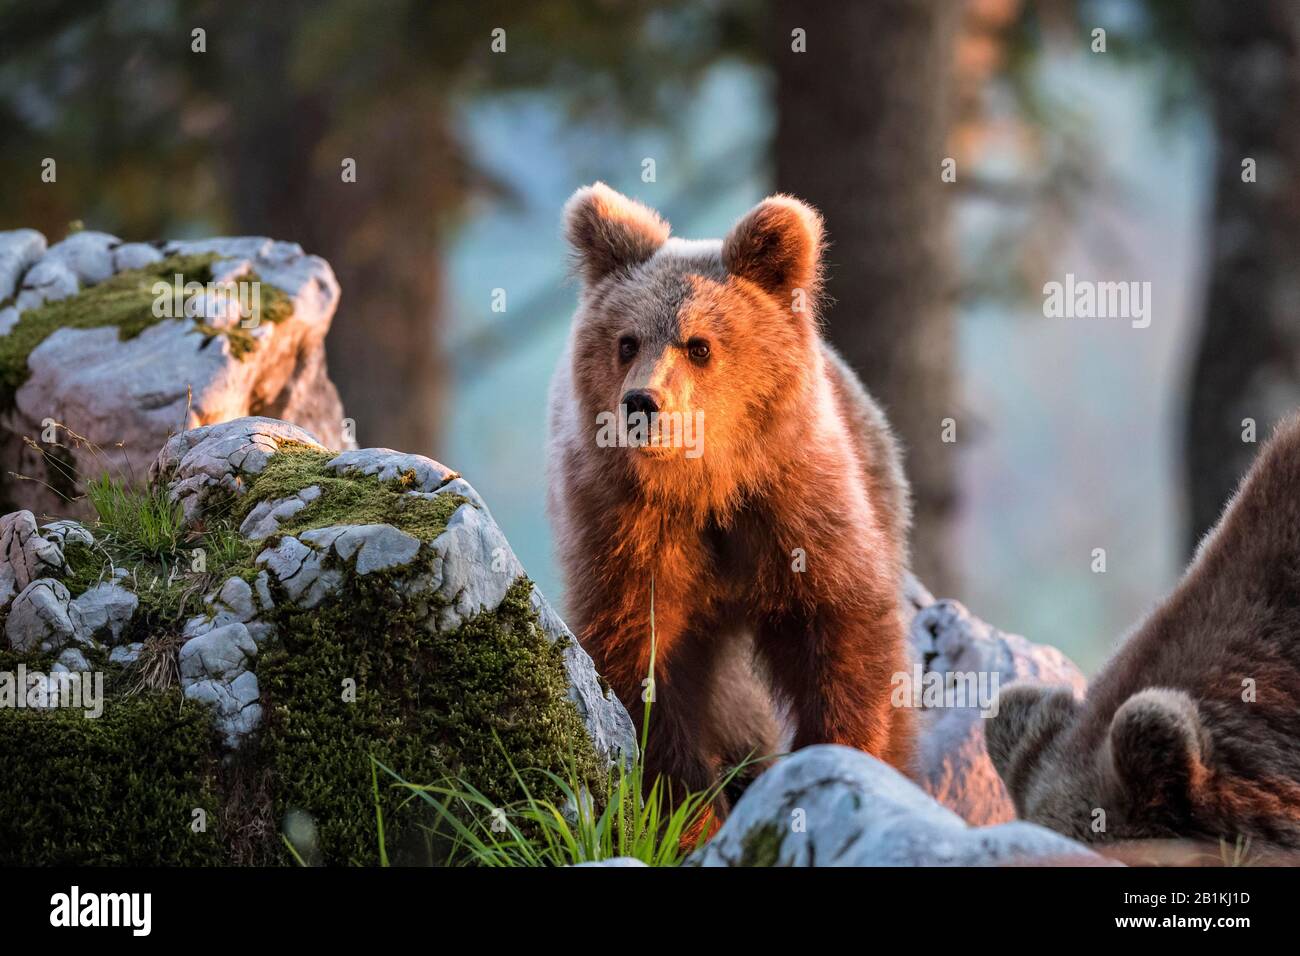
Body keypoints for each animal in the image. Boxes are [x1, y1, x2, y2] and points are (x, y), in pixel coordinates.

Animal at [548, 183, 915, 811]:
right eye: (626, 342)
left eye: (699, 345)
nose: (642, 403)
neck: (705, 486)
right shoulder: (623, 528)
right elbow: (643, 661)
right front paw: (690, 805)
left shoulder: (795, 504)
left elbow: (845, 628)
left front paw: (843, 753)